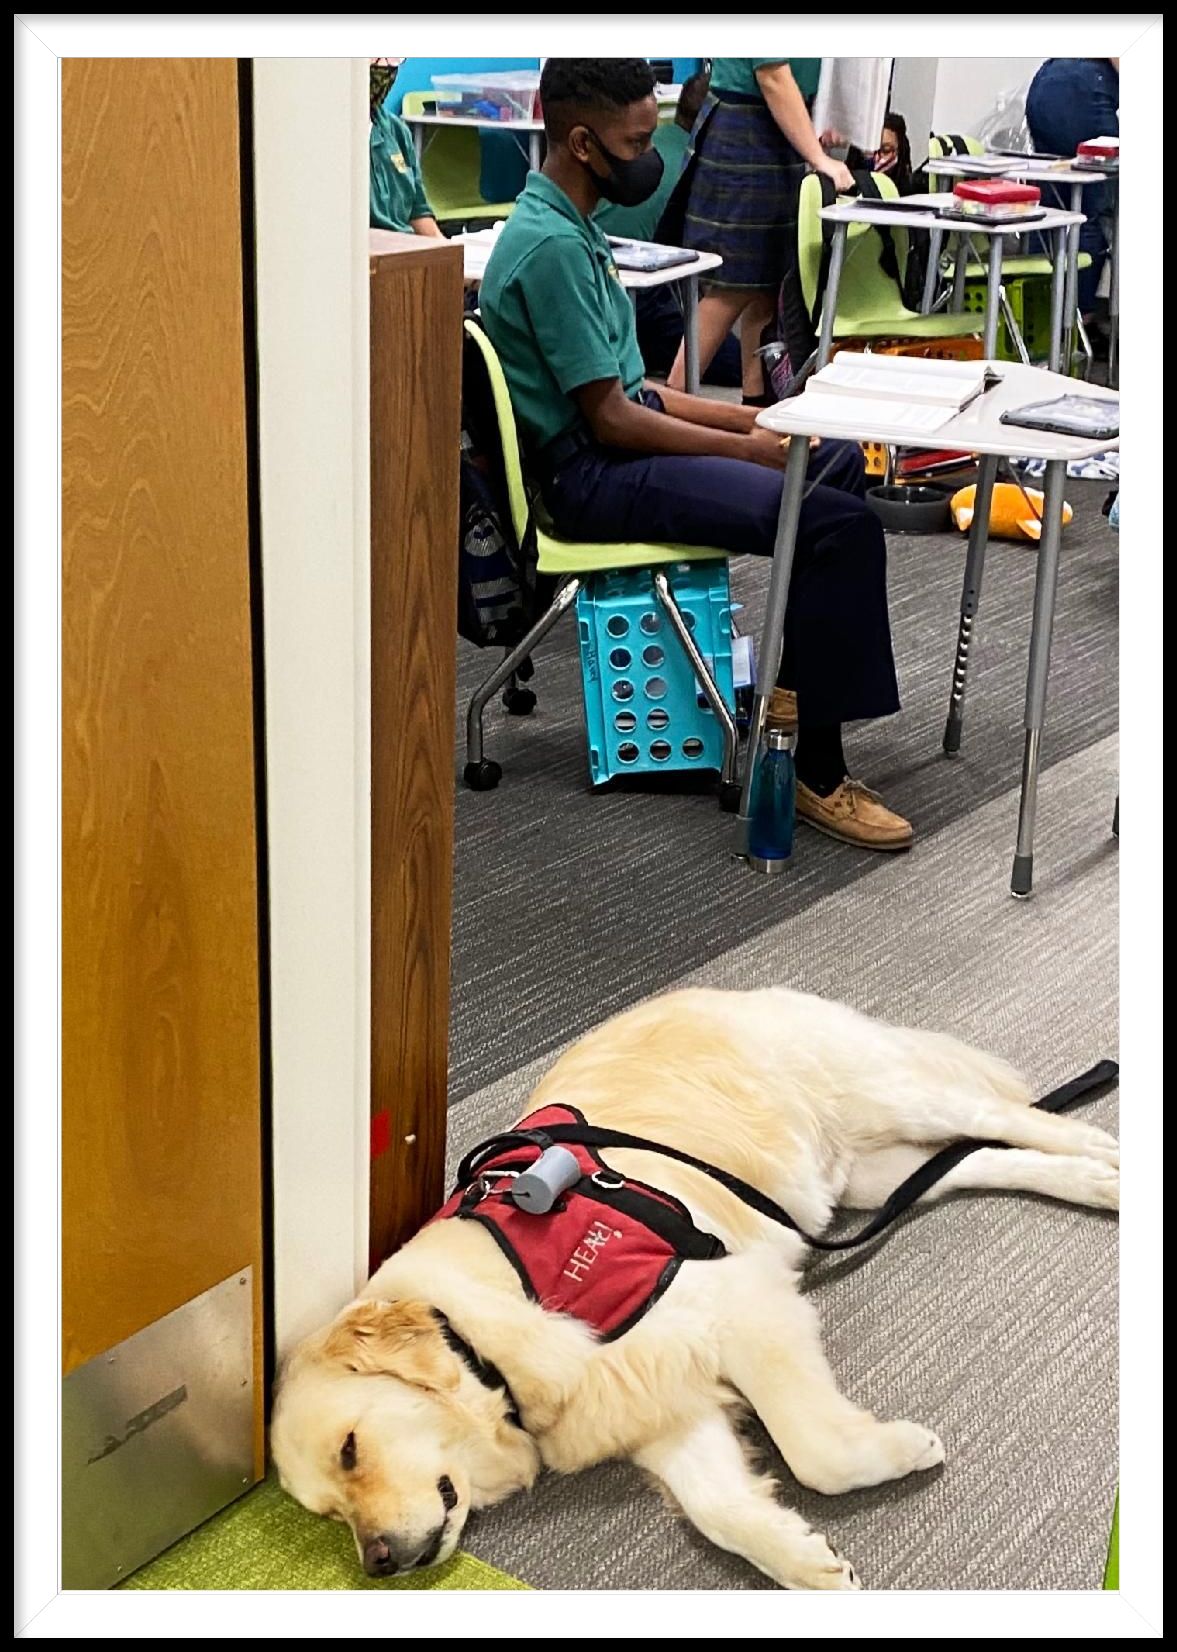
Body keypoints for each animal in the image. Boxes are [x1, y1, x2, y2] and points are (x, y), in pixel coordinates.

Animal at [270, 987, 1118, 1590]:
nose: (377, 1563)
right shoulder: (658, 1399)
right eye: (328, 1511)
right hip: (863, 1176)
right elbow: (717, 1506)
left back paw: (1104, 1151)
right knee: (974, 1160)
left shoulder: (736, 1305)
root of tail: (713, 989)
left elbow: (814, 1453)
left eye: (350, 1450)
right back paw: (1093, 1183)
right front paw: (802, 1557)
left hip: (886, 1095)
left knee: (1012, 1116)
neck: (483, 1340)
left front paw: (898, 1450)